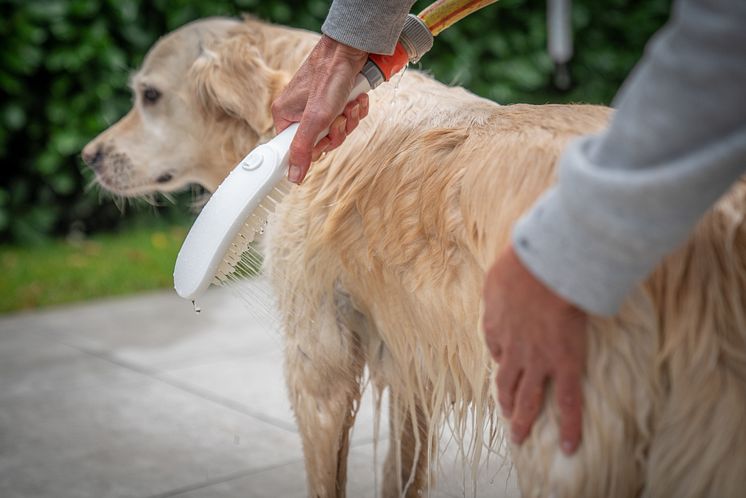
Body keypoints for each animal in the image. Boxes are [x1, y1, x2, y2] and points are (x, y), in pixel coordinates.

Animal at [84, 15, 744, 498]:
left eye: (149, 96)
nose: (87, 156)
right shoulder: (411, 361)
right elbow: (402, 471)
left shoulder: (317, 360)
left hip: (561, 426)